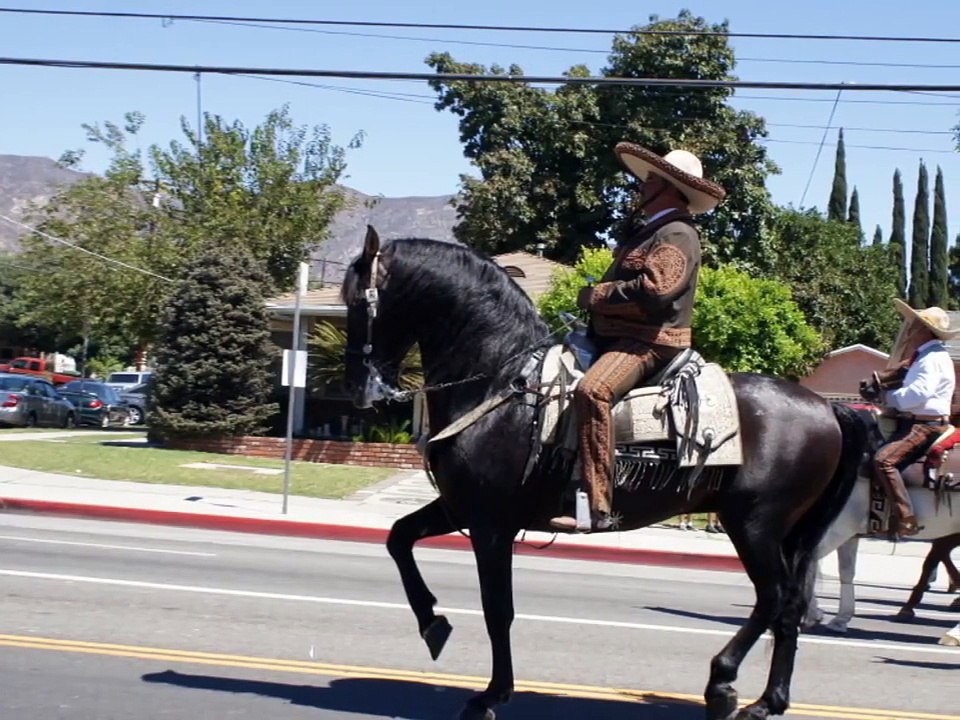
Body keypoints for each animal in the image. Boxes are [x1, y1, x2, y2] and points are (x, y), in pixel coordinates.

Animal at [341, 227, 866, 720]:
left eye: (357, 302)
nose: (359, 390)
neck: (500, 381)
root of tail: (828, 408)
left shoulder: (491, 526)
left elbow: (497, 609)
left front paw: (491, 694)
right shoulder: (460, 509)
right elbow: (398, 538)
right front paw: (432, 623)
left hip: (755, 524)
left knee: (773, 598)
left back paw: (722, 685)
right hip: (786, 531)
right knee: (790, 606)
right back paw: (769, 700)